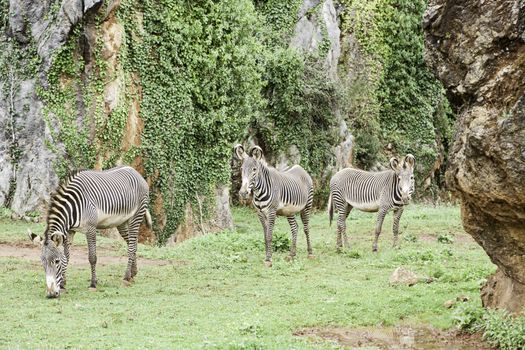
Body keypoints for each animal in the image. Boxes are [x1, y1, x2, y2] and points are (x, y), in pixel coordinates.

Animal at [27, 165, 151, 296]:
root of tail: (134, 170)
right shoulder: (69, 231)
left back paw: (126, 277)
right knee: (132, 243)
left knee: (131, 246)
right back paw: (133, 273)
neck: (72, 208)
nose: (51, 294)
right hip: (121, 222)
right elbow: (66, 257)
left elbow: (92, 257)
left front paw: (93, 284)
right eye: (42, 262)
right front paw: (63, 285)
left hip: (136, 217)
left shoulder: (90, 229)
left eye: (56, 261)